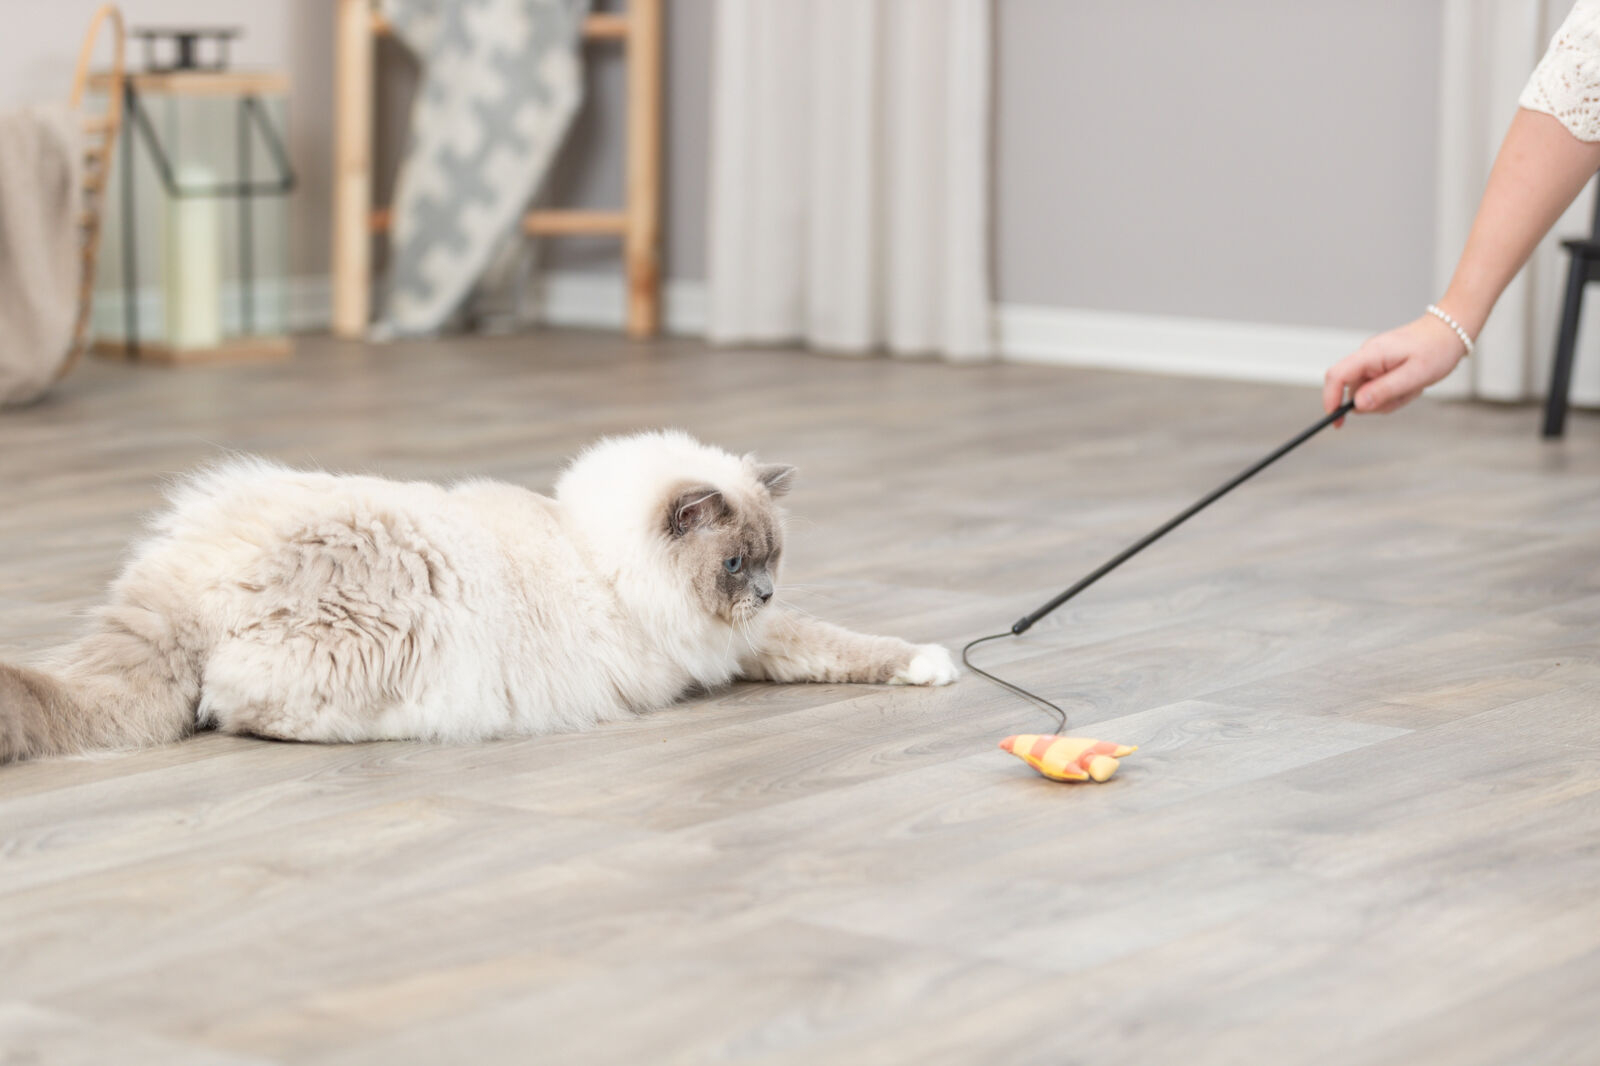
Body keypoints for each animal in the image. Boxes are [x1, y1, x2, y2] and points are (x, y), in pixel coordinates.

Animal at [0, 428, 953, 758]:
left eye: (774, 559)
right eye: (734, 565)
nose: (761, 592)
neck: (592, 543)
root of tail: (186, 578)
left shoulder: (743, 640)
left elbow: (833, 644)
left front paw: (929, 664)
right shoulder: (720, 640)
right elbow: (835, 641)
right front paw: (936, 665)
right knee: (236, 709)